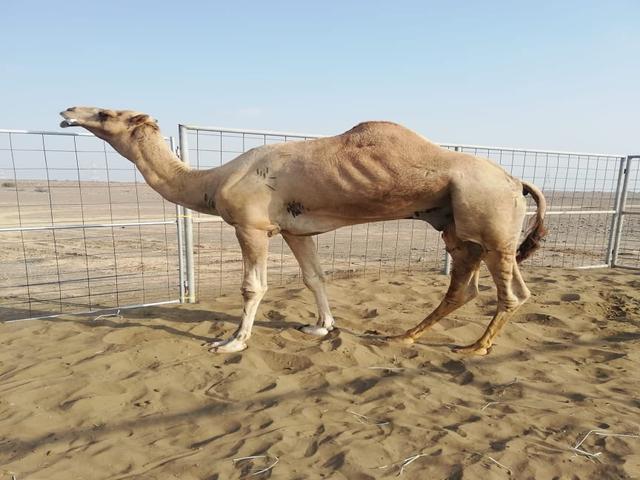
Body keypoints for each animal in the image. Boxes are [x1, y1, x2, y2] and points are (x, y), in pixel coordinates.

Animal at [59, 107, 546, 355]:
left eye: (105, 112)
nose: (68, 111)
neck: (214, 181)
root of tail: (517, 180)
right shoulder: (296, 230)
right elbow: (314, 276)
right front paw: (321, 328)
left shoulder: (252, 226)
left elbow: (253, 286)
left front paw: (232, 342)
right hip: (458, 226)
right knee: (466, 283)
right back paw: (403, 336)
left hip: (489, 221)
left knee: (511, 292)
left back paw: (475, 348)